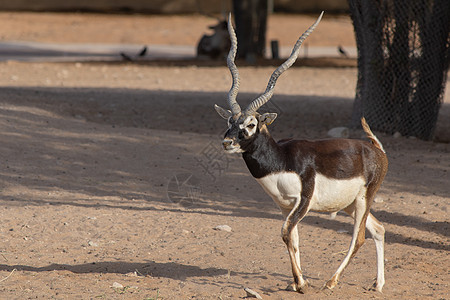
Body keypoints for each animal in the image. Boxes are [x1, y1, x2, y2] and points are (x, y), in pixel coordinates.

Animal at [214, 12, 386, 292]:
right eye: (230, 120)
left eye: (250, 124)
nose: (227, 142)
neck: (281, 160)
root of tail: (375, 148)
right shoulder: (285, 207)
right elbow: (292, 240)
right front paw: (297, 282)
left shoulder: (303, 202)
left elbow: (285, 233)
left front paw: (302, 284)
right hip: (350, 204)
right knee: (379, 229)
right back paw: (377, 284)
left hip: (364, 199)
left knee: (359, 237)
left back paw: (331, 281)